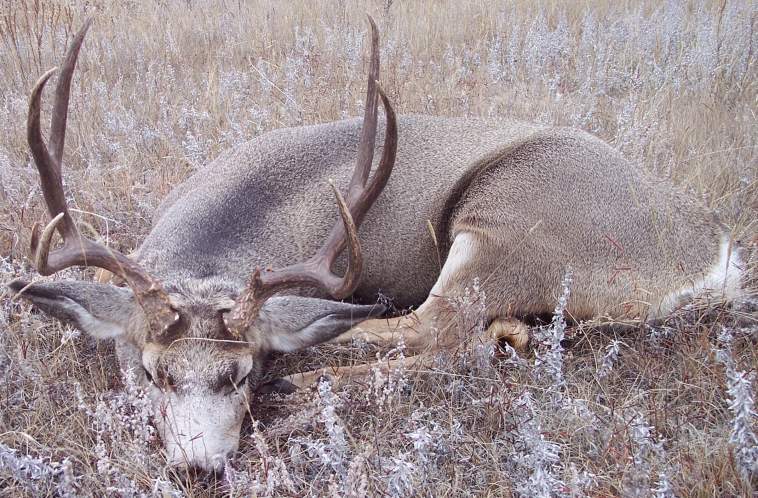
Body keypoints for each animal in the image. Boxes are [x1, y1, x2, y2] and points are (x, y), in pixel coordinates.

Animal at [7, 17, 744, 472]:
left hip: (505, 218)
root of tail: (717, 250)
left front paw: (286, 382)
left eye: (240, 373)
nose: (198, 465)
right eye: (152, 371)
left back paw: (309, 385)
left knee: (441, 334)